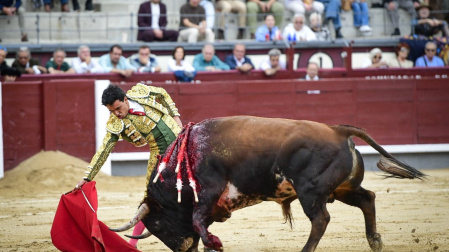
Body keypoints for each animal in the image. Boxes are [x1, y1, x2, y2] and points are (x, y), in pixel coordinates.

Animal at [110, 115, 426, 251]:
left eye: (157, 224)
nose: (183, 249)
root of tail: (337, 131)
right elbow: (201, 225)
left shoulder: (207, 193)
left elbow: (199, 222)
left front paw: (215, 244)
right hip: (341, 188)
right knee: (367, 198)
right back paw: (375, 241)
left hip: (311, 191)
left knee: (321, 219)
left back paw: (306, 251)